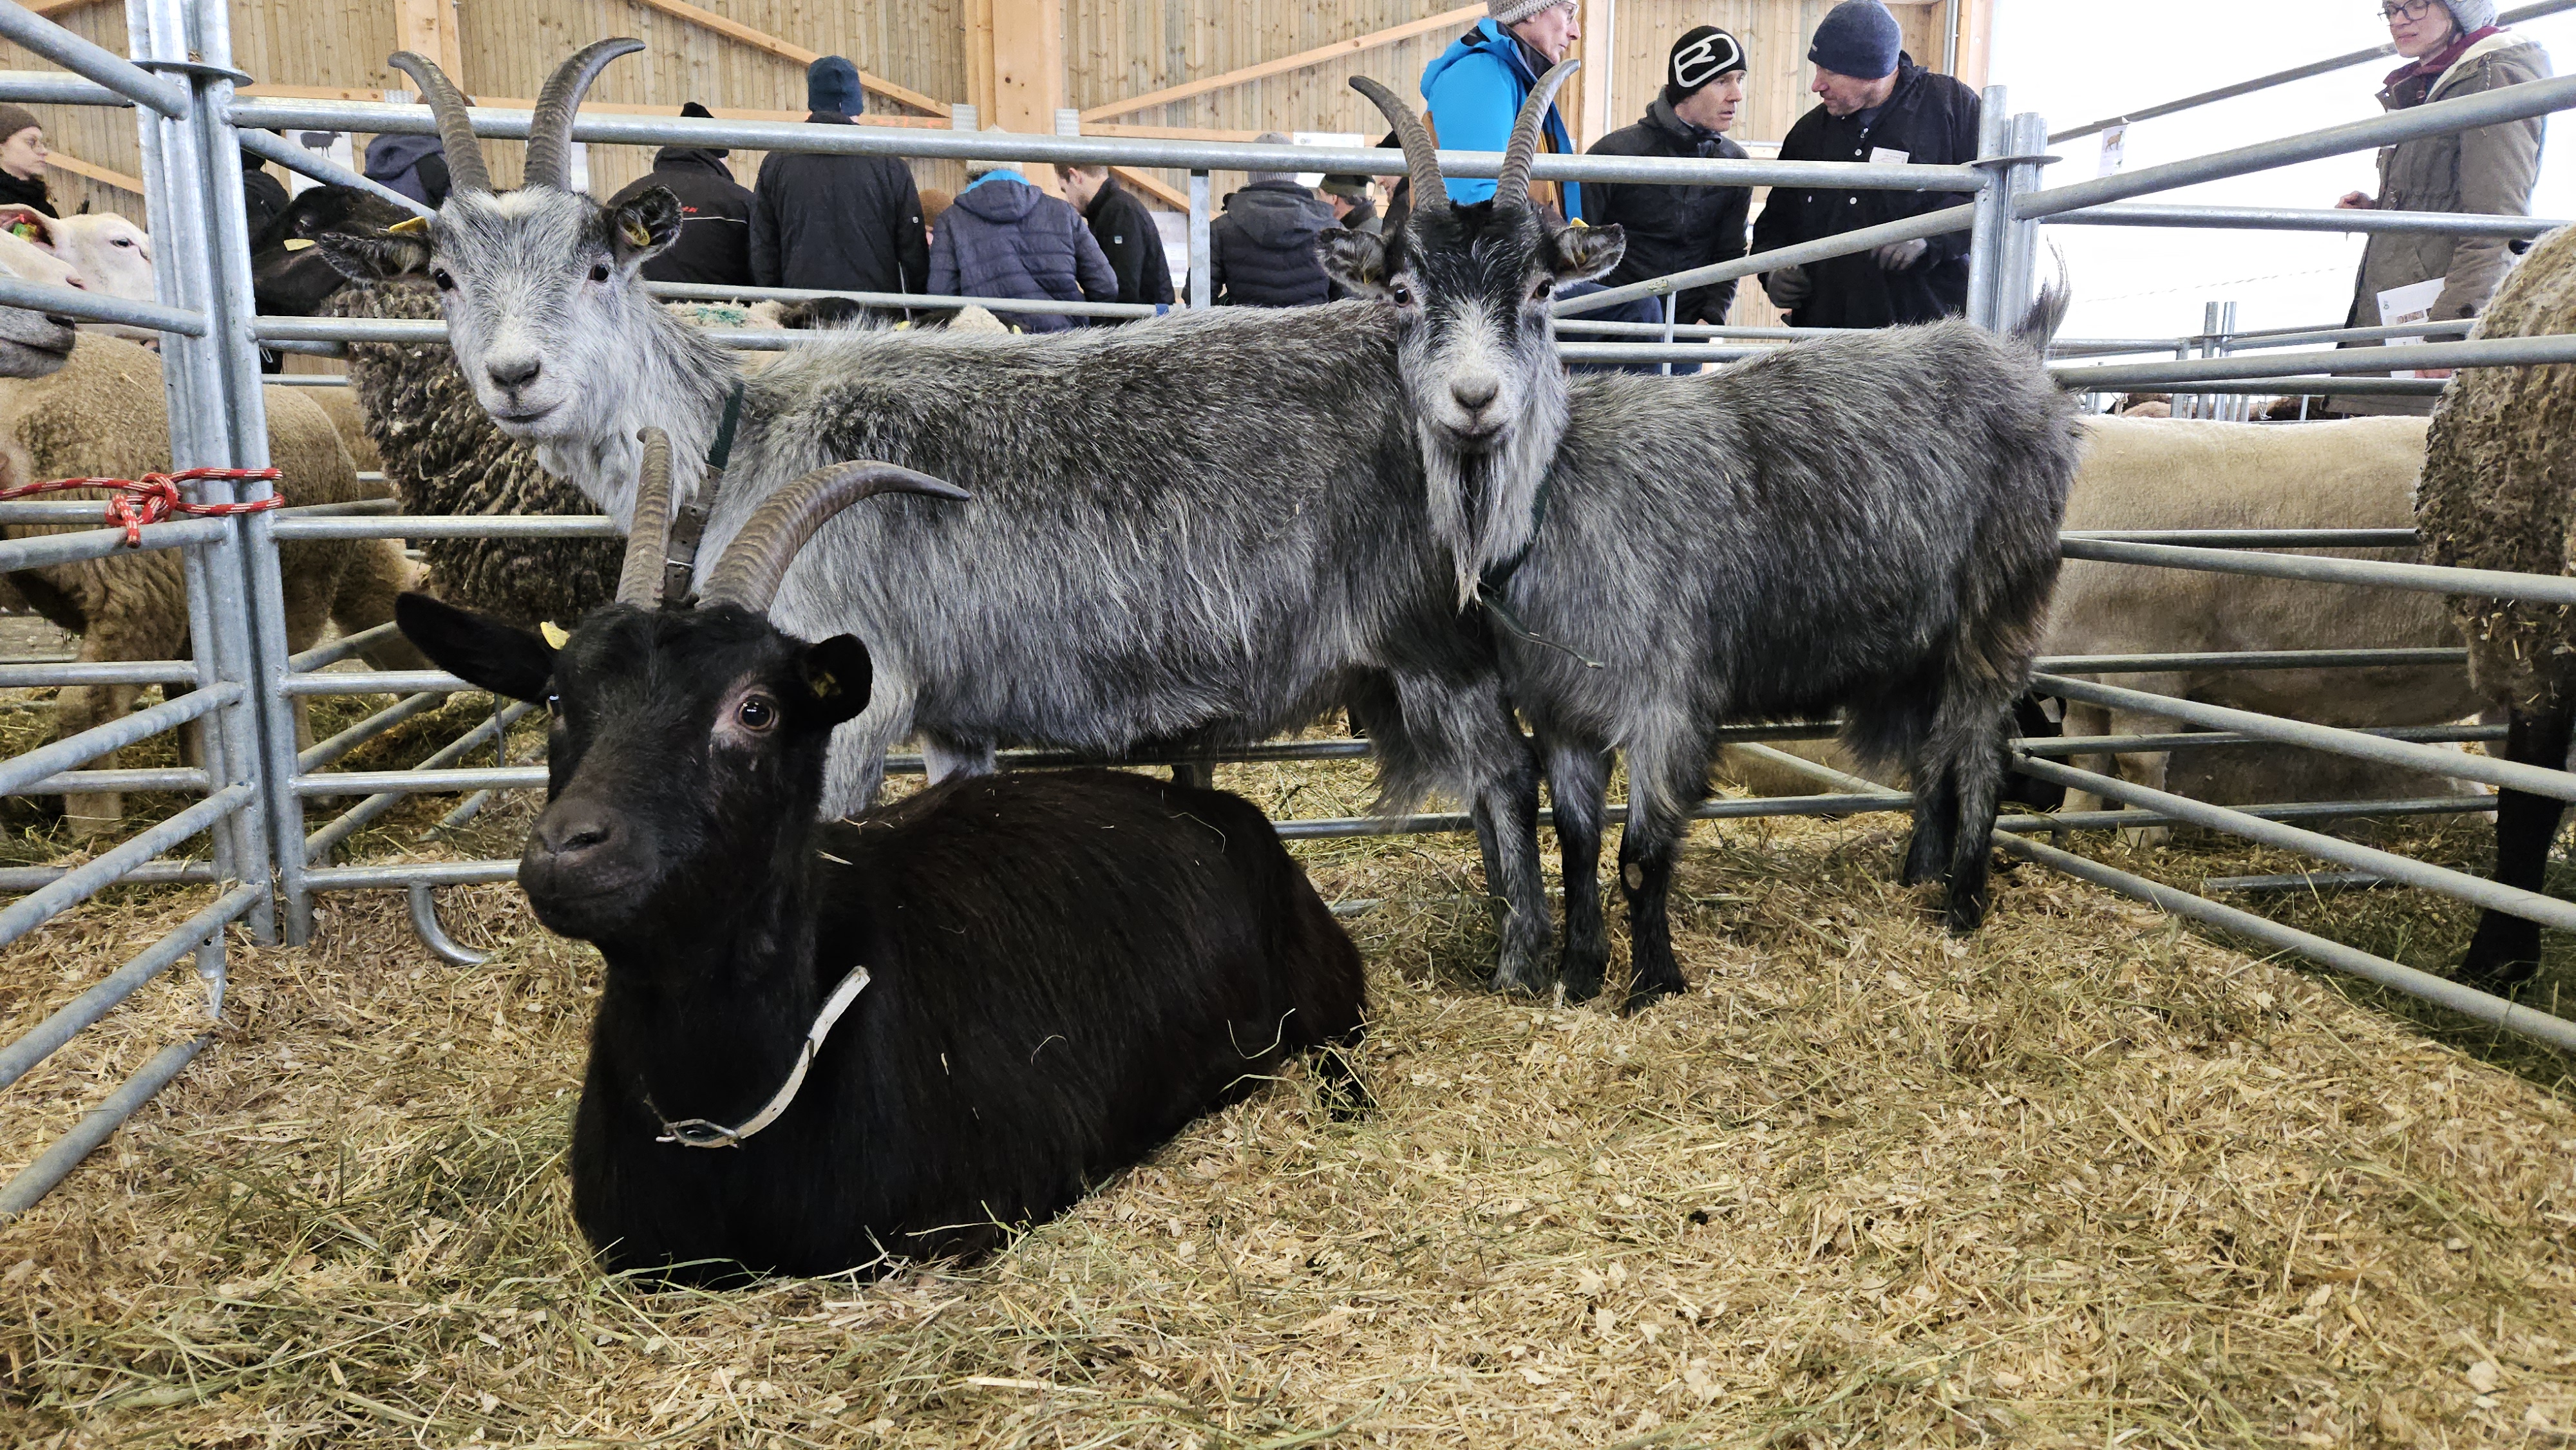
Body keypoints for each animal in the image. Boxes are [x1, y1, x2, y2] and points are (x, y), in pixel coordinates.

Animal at [0, 333, 420, 834]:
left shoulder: (193, 626)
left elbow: (189, 697)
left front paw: (200, 771)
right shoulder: (302, 588)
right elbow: (291, 673)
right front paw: (306, 770)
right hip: (138, 587)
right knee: (87, 709)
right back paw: (96, 826)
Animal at [319, 39, 1620, 994]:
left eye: (598, 266)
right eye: (444, 279)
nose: (515, 377)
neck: (745, 433)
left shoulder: (852, 699)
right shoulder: (952, 709)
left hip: (1436, 636)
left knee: (1507, 776)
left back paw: (1518, 962)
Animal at [1321, 72, 2084, 1012]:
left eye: (1540, 289)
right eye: (1401, 293)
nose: (1473, 398)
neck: (1564, 493)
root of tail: (2024, 360)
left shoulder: (1669, 701)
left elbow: (1641, 855)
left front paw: (1652, 982)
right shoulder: (1564, 711)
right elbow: (1577, 845)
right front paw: (1579, 972)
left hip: (2001, 608)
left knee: (1980, 748)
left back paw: (1964, 908)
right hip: (1924, 644)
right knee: (1938, 751)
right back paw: (1919, 874)